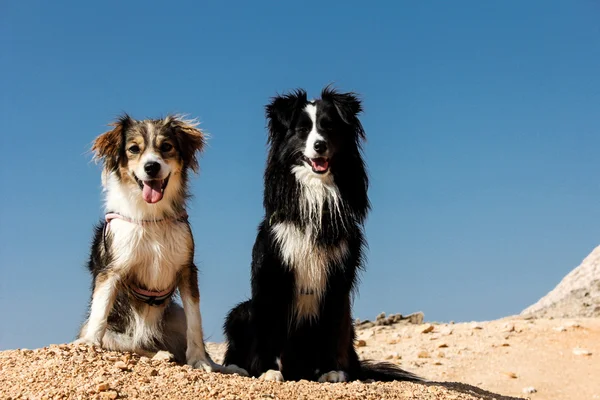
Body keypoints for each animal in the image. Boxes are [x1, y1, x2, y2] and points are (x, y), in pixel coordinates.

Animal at [75, 115, 244, 376]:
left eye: (166, 147)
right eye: (134, 149)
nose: (151, 167)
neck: (151, 216)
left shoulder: (187, 270)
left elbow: (196, 324)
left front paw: (200, 361)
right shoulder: (111, 270)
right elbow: (100, 311)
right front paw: (89, 344)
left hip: (175, 315)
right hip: (118, 334)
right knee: (133, 345)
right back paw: (160, 354)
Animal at [221, 86, 422, 382]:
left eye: (329, 127)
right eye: (302, 130)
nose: (320, 146)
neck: (317, 193)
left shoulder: (338, 277)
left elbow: (333, 327)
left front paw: (332, 371)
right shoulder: (273, 272)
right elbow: (268, 328)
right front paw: (268, 371)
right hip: (242, 311)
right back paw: (239, 367)